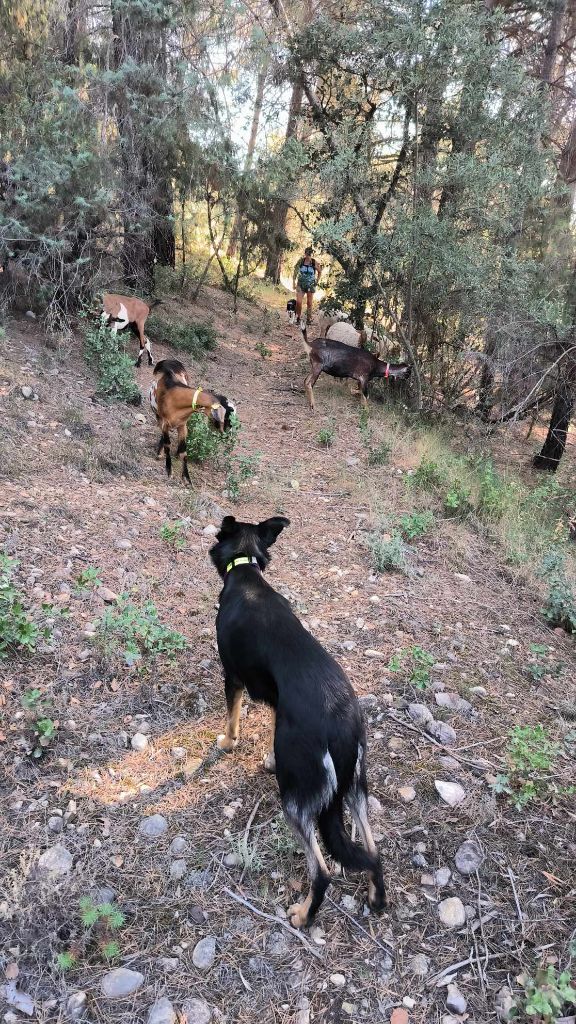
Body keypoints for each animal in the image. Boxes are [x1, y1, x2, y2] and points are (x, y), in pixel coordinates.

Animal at [208, 516, 383, 925]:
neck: (245, 569)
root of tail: (341, 724)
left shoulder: (232, 677)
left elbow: (231, 718)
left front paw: (227, 742)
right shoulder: (277, 702)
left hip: (296, 799)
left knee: (321, 871)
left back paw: (303, 915)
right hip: (355, 787)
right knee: (372, 849)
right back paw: (375, 895)